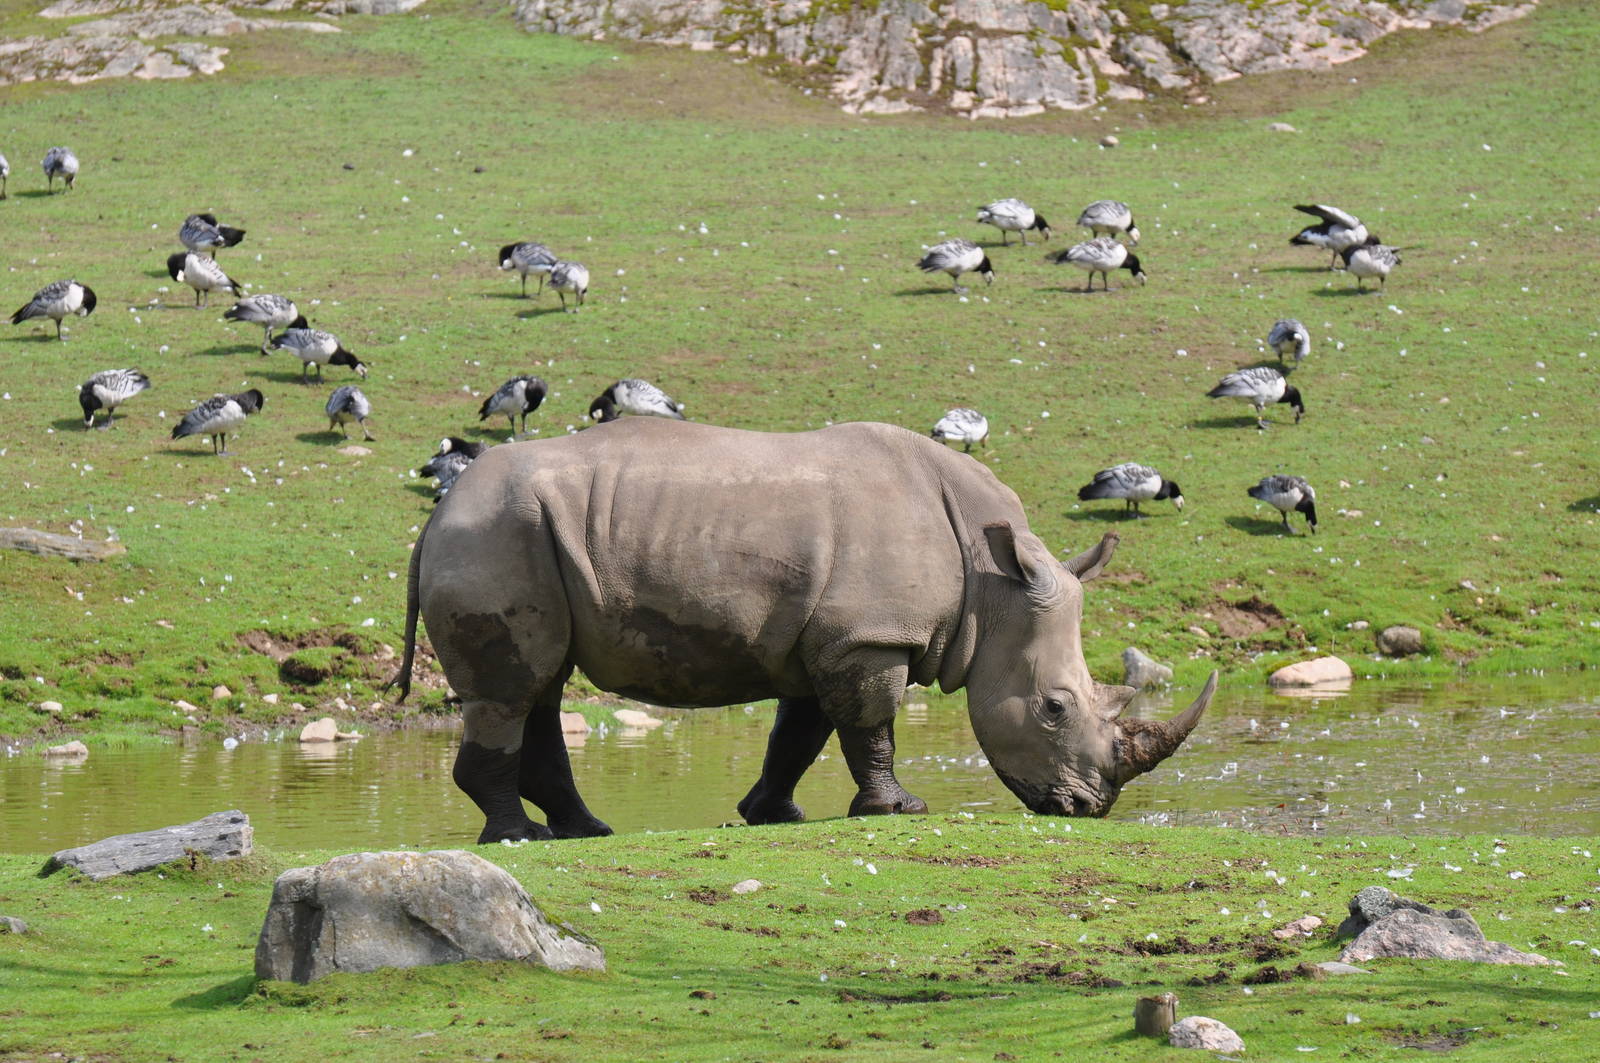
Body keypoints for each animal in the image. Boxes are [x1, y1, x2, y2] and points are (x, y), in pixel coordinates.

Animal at [391, 419, 1215, 842]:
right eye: (1053, 707)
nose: (1087, 808)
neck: (993, 584)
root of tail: (439, 512)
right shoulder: (869, 636)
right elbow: (871, 725)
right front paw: (899, 810)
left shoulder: (830, 637)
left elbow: (804, 730)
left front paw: (772, 814)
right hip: (498, 537)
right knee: (514, 688)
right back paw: (518, 838)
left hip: (518, 535)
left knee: (543, 684)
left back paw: (586, 830)